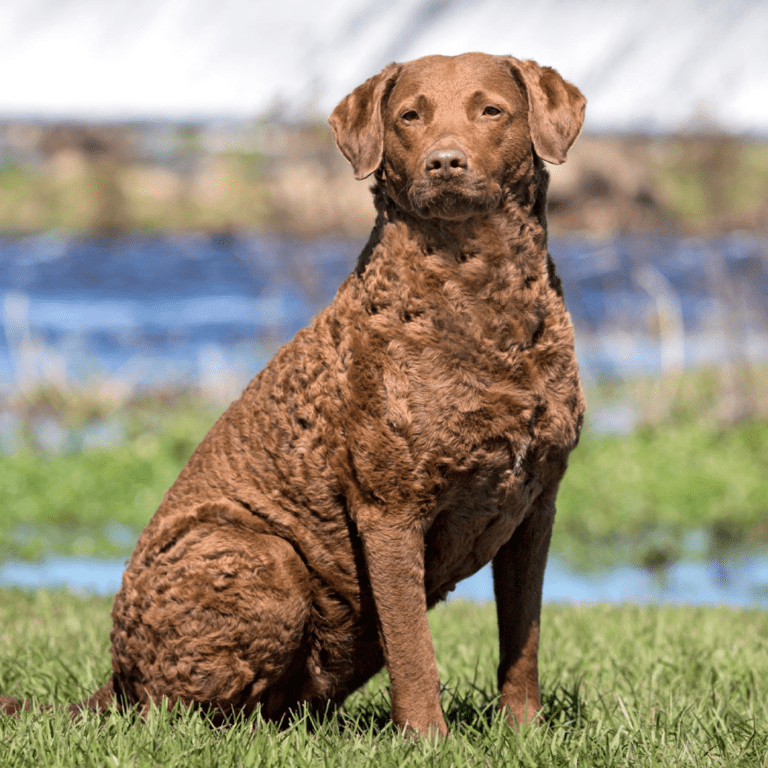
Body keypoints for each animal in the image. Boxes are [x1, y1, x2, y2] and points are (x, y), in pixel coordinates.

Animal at [0, 51, 584, 736]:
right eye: (409, 116)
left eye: (492, 110)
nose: (444, 162)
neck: (480, 302)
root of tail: (116, 678)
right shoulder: (389, 509)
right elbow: (414, 649)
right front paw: (427, 739)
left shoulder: (535, 504)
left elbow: (523, 638)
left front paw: (525, 732)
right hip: (263, 554)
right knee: (177, 713)